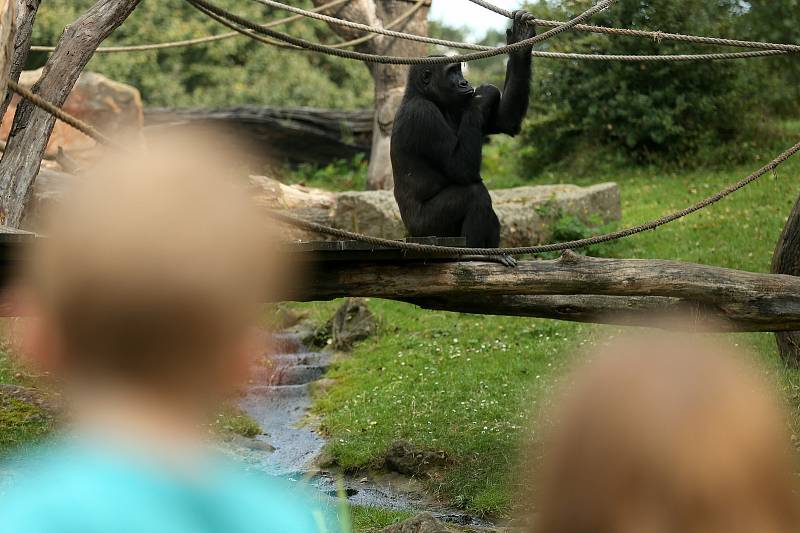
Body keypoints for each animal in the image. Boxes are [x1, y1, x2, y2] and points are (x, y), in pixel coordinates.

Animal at [390, 12, 536, 262]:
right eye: (451, 72)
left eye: (459, 70)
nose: (464, 82)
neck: (426, 96)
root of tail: (410, 235)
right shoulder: (423, 114)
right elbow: (460, 168)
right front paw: (481, 97)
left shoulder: (459, 108)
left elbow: (505, 121)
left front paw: (521, 44)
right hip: (429, 231)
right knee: (474, 195)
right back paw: (476, 255)